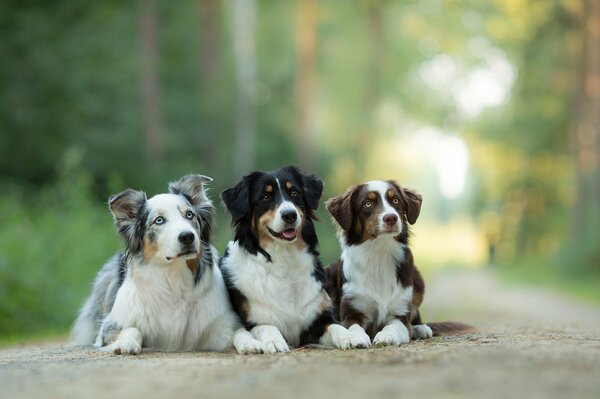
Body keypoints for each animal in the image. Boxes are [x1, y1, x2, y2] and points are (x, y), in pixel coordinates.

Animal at [74, 176, 243, 356]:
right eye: (159, 220)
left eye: (189, 215)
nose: (187, 237)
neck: (174, 274)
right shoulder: (109, 327)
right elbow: (132, 329)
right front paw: (128, 343)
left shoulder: (222, 323)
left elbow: (238, 332)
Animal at [218, 167, 372, 354]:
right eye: (265, 197)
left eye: (294, 193)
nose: (290, 215)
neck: (284, 260)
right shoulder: (252, 321)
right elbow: (267, 326)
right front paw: (274, 341)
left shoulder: (318, 321)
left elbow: (337, 326)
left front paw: (350, 337)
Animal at [326, 180, 472, 346]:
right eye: (367, 203)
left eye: (395, 200)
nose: (391, 218)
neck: (379, 254)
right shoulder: (351, 312)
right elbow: (352, 327)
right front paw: (354, 338)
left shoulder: (400, 313)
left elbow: (394, 327)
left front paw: (386, 336)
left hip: (418, 280)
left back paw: (420, 328)